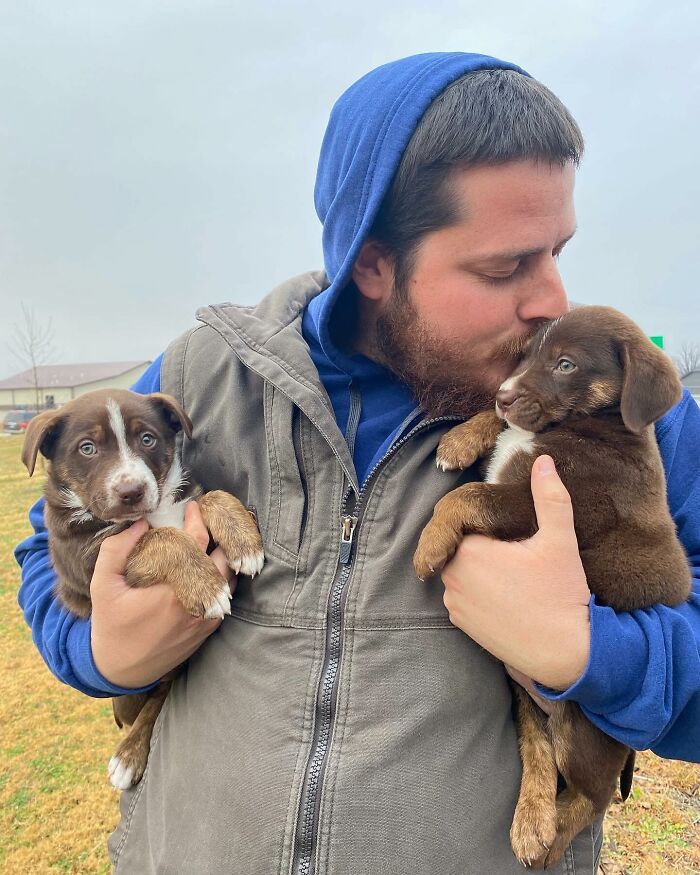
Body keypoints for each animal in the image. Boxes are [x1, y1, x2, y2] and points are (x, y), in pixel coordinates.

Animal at [23, 390, 266, 792]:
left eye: (148, 439)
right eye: (87, 448)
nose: (131, 492)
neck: (149, 513)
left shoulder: (186, 500)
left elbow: (210, 496)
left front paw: (243, 540)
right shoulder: (94, 557)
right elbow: (161, 538)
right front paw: (207, 586)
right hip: (127, 696)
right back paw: (127, 755)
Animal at [412, 306, 692, 868]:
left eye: (565, 364)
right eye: (526, 355)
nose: (502, 392)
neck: (593, 425)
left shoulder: (552, 503)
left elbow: (471, 495)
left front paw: (430, 542)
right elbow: (497, 436)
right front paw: (461, 438)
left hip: (582, 726)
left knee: (594, 795)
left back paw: (551, 836)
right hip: (524, 695)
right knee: (536, 749)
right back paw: (531, 821)